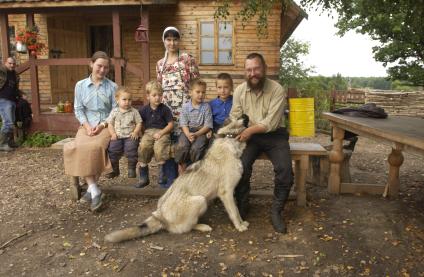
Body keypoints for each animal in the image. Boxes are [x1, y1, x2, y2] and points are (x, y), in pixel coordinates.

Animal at [105, 114, 248, 242]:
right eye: (238, 116)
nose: (246, 115)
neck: (229, 140)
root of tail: (160, 216)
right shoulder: (226, 193)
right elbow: (234, 212)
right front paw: (239, 226)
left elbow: (237, 211)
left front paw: (242, 222)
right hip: (200, 200)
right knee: (185, 227)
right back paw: (202, 226)